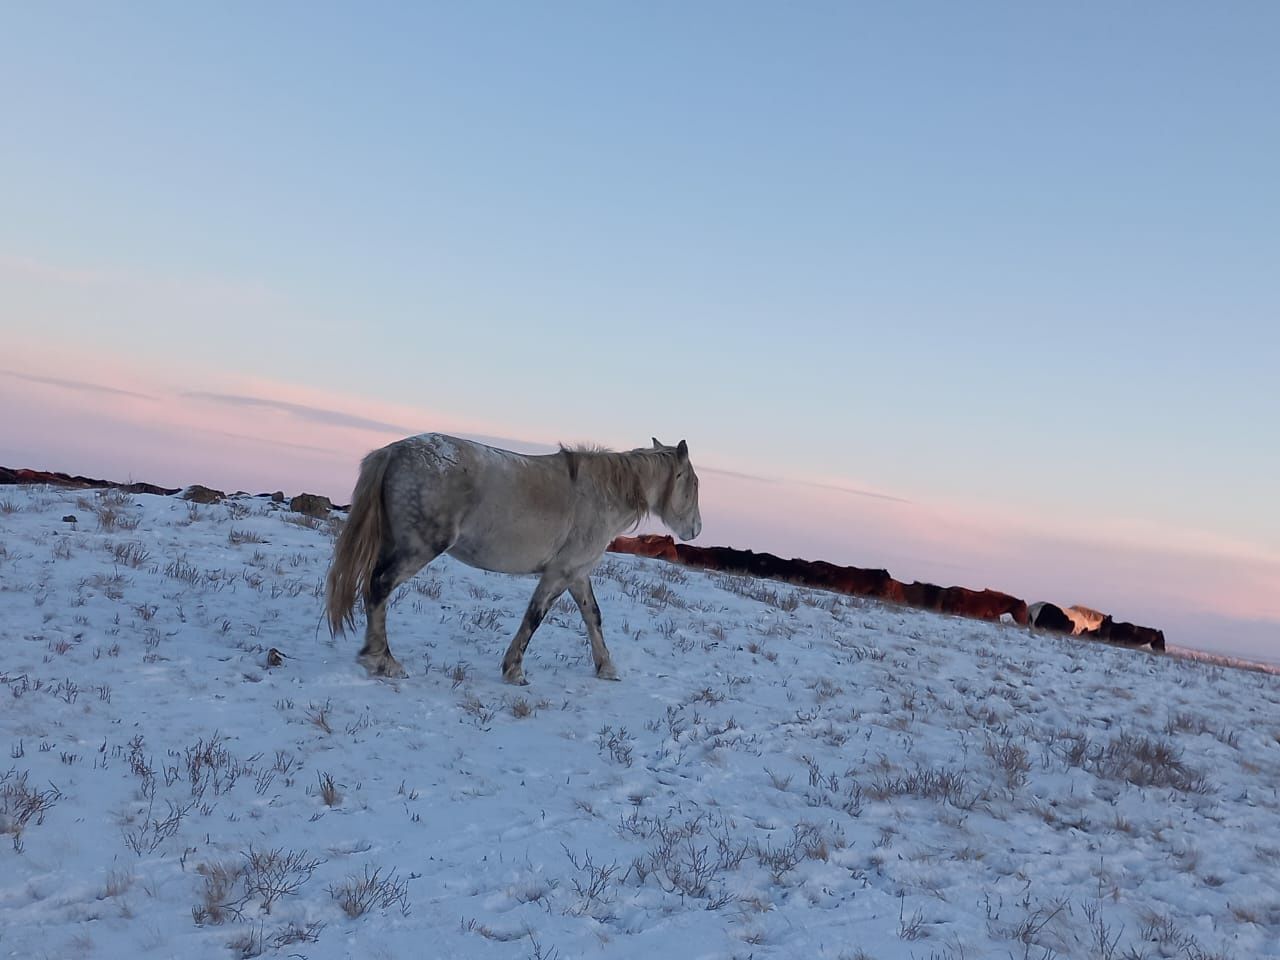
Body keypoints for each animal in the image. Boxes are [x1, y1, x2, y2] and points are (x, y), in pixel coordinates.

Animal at [320, 435, 701, 686]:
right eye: (694, 484)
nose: (696, 529)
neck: (601, 494)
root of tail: (392, 451)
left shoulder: (576, 573)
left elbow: (592, 616)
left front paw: (606, 668)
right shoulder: (559, 573)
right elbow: (534, 617)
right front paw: (514, 671)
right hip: (418, 548)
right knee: (379, 587)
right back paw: (382, 661)